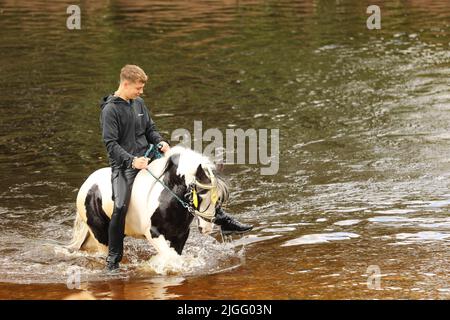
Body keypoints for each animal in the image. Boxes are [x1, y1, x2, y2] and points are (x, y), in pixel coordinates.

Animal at [68, 146, 229, 260]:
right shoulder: (153, 233)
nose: (207, 228)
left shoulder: (181, 235)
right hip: (100, 235)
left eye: (219, 199)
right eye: (201, 195)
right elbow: (170, 257)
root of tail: (87, 184)